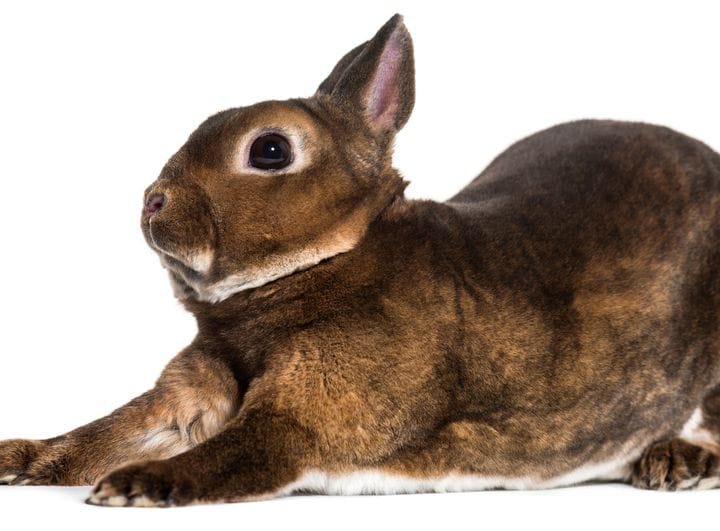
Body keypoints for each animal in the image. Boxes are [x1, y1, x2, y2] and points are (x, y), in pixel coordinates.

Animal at [1, 13, 720, 507]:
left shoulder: (305, 415)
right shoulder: (187, 394)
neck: (322, 264)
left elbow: (241, 448)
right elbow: (109, 431)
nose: (152, 201)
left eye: (269, 150)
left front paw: (137, 484)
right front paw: (19, 456)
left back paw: (675, 463)